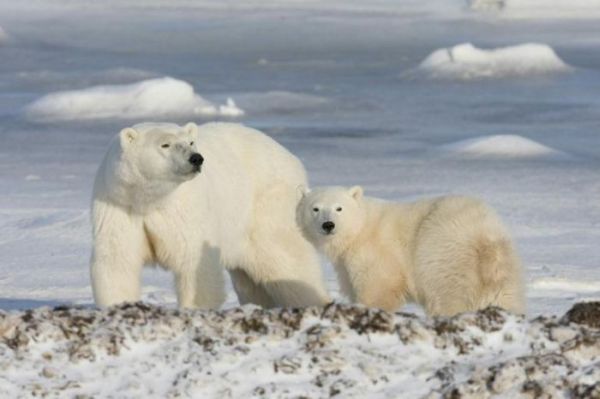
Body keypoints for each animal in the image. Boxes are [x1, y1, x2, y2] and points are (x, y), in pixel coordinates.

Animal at [91, 122, 330, 310]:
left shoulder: (184, 210)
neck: (149, 200)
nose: (195, 159)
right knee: (250, 280)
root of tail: (291, 157)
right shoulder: (119, 206)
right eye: (165, 144)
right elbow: (117, 261)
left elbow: (195, 262)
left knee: (287, 260)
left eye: (190, 143)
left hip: (267, 207)